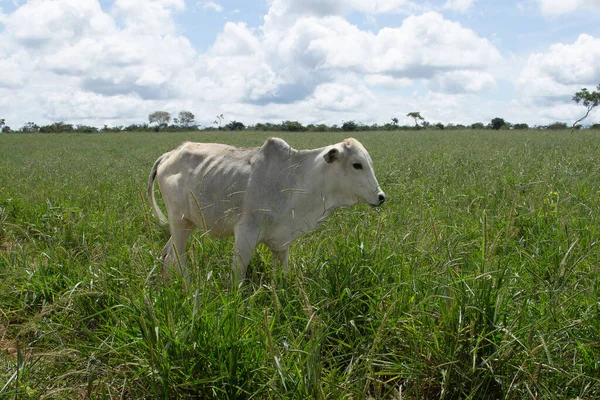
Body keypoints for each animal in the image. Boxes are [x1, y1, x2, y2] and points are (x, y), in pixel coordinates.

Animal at [148, 138, 386, 284]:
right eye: (357, 164)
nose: (381, 197)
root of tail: (170, 153)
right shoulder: (245, 234)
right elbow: (237, 277)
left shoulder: (282, 242)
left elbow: (282, 275)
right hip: (179, 222)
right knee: (178, 258)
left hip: (185, 224)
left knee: (168, 254)